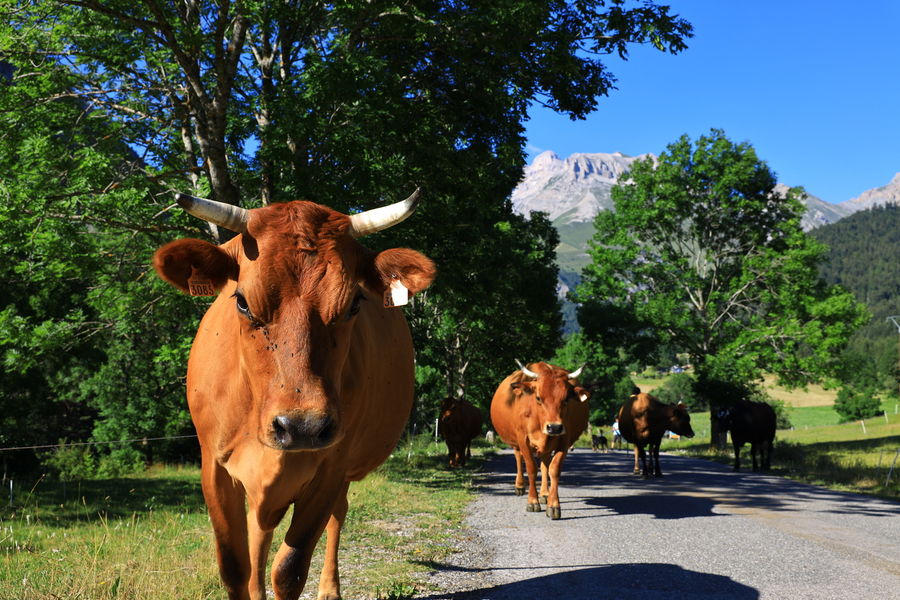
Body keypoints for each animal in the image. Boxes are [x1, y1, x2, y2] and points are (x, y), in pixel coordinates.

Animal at [152, 190, 435, 600]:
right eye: (242, 301)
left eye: (354, 303)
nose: (302, 427)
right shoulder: (213, 467)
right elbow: (234, 567)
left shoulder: (331, 468)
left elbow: (289, 569)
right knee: (260, 531)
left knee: (336, 516)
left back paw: (330, 589)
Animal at [489, 361, 589, 520]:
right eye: (538, 398)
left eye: (566, 399)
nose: (554, 427)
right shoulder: (523, 439)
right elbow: (531, 468)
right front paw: (532, 501)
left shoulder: (564, 441)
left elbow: (553, 469)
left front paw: (553, 505)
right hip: (516, 443)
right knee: (519, 458)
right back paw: (519, 486)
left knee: (545, 465)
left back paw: (545, 493)